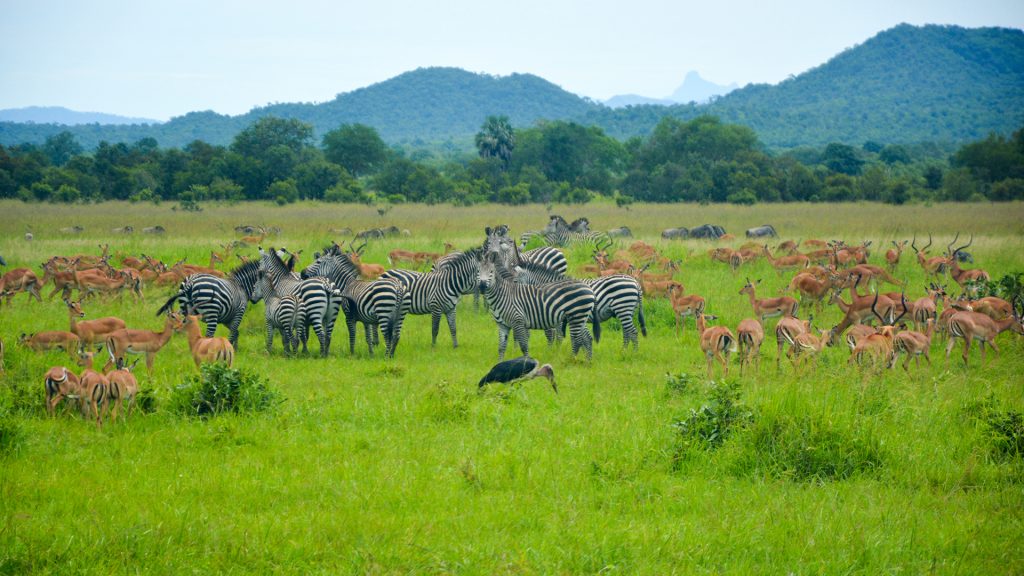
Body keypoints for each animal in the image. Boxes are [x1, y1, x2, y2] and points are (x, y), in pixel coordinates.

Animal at [511, 260, 647, 350]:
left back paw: (632, 353)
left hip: (623, 308)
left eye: (515, 281)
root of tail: (635, 282)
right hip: (627, 310)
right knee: (627, 332)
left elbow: (556, 335)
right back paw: (624, 350)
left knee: (632, 332)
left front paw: (556, 351)